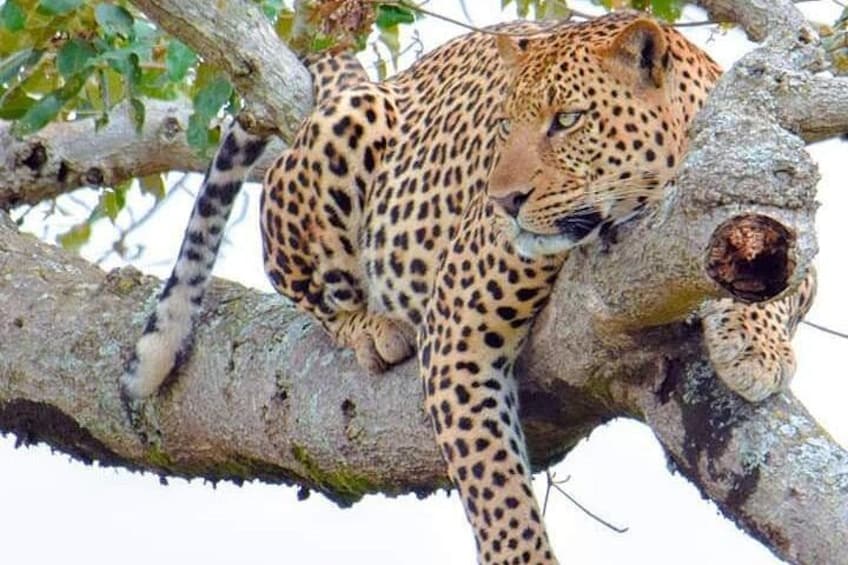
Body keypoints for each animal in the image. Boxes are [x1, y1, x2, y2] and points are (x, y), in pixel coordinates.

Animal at [123, 12, 815, 564]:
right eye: (506, 124)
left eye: (568, 120)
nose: (503, 201)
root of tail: (389, 80)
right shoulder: (458, 331)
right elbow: (497, 491)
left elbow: (783, 275)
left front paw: (755, 346)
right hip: (344, 135)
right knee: (302, 281)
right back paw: (373, 328)